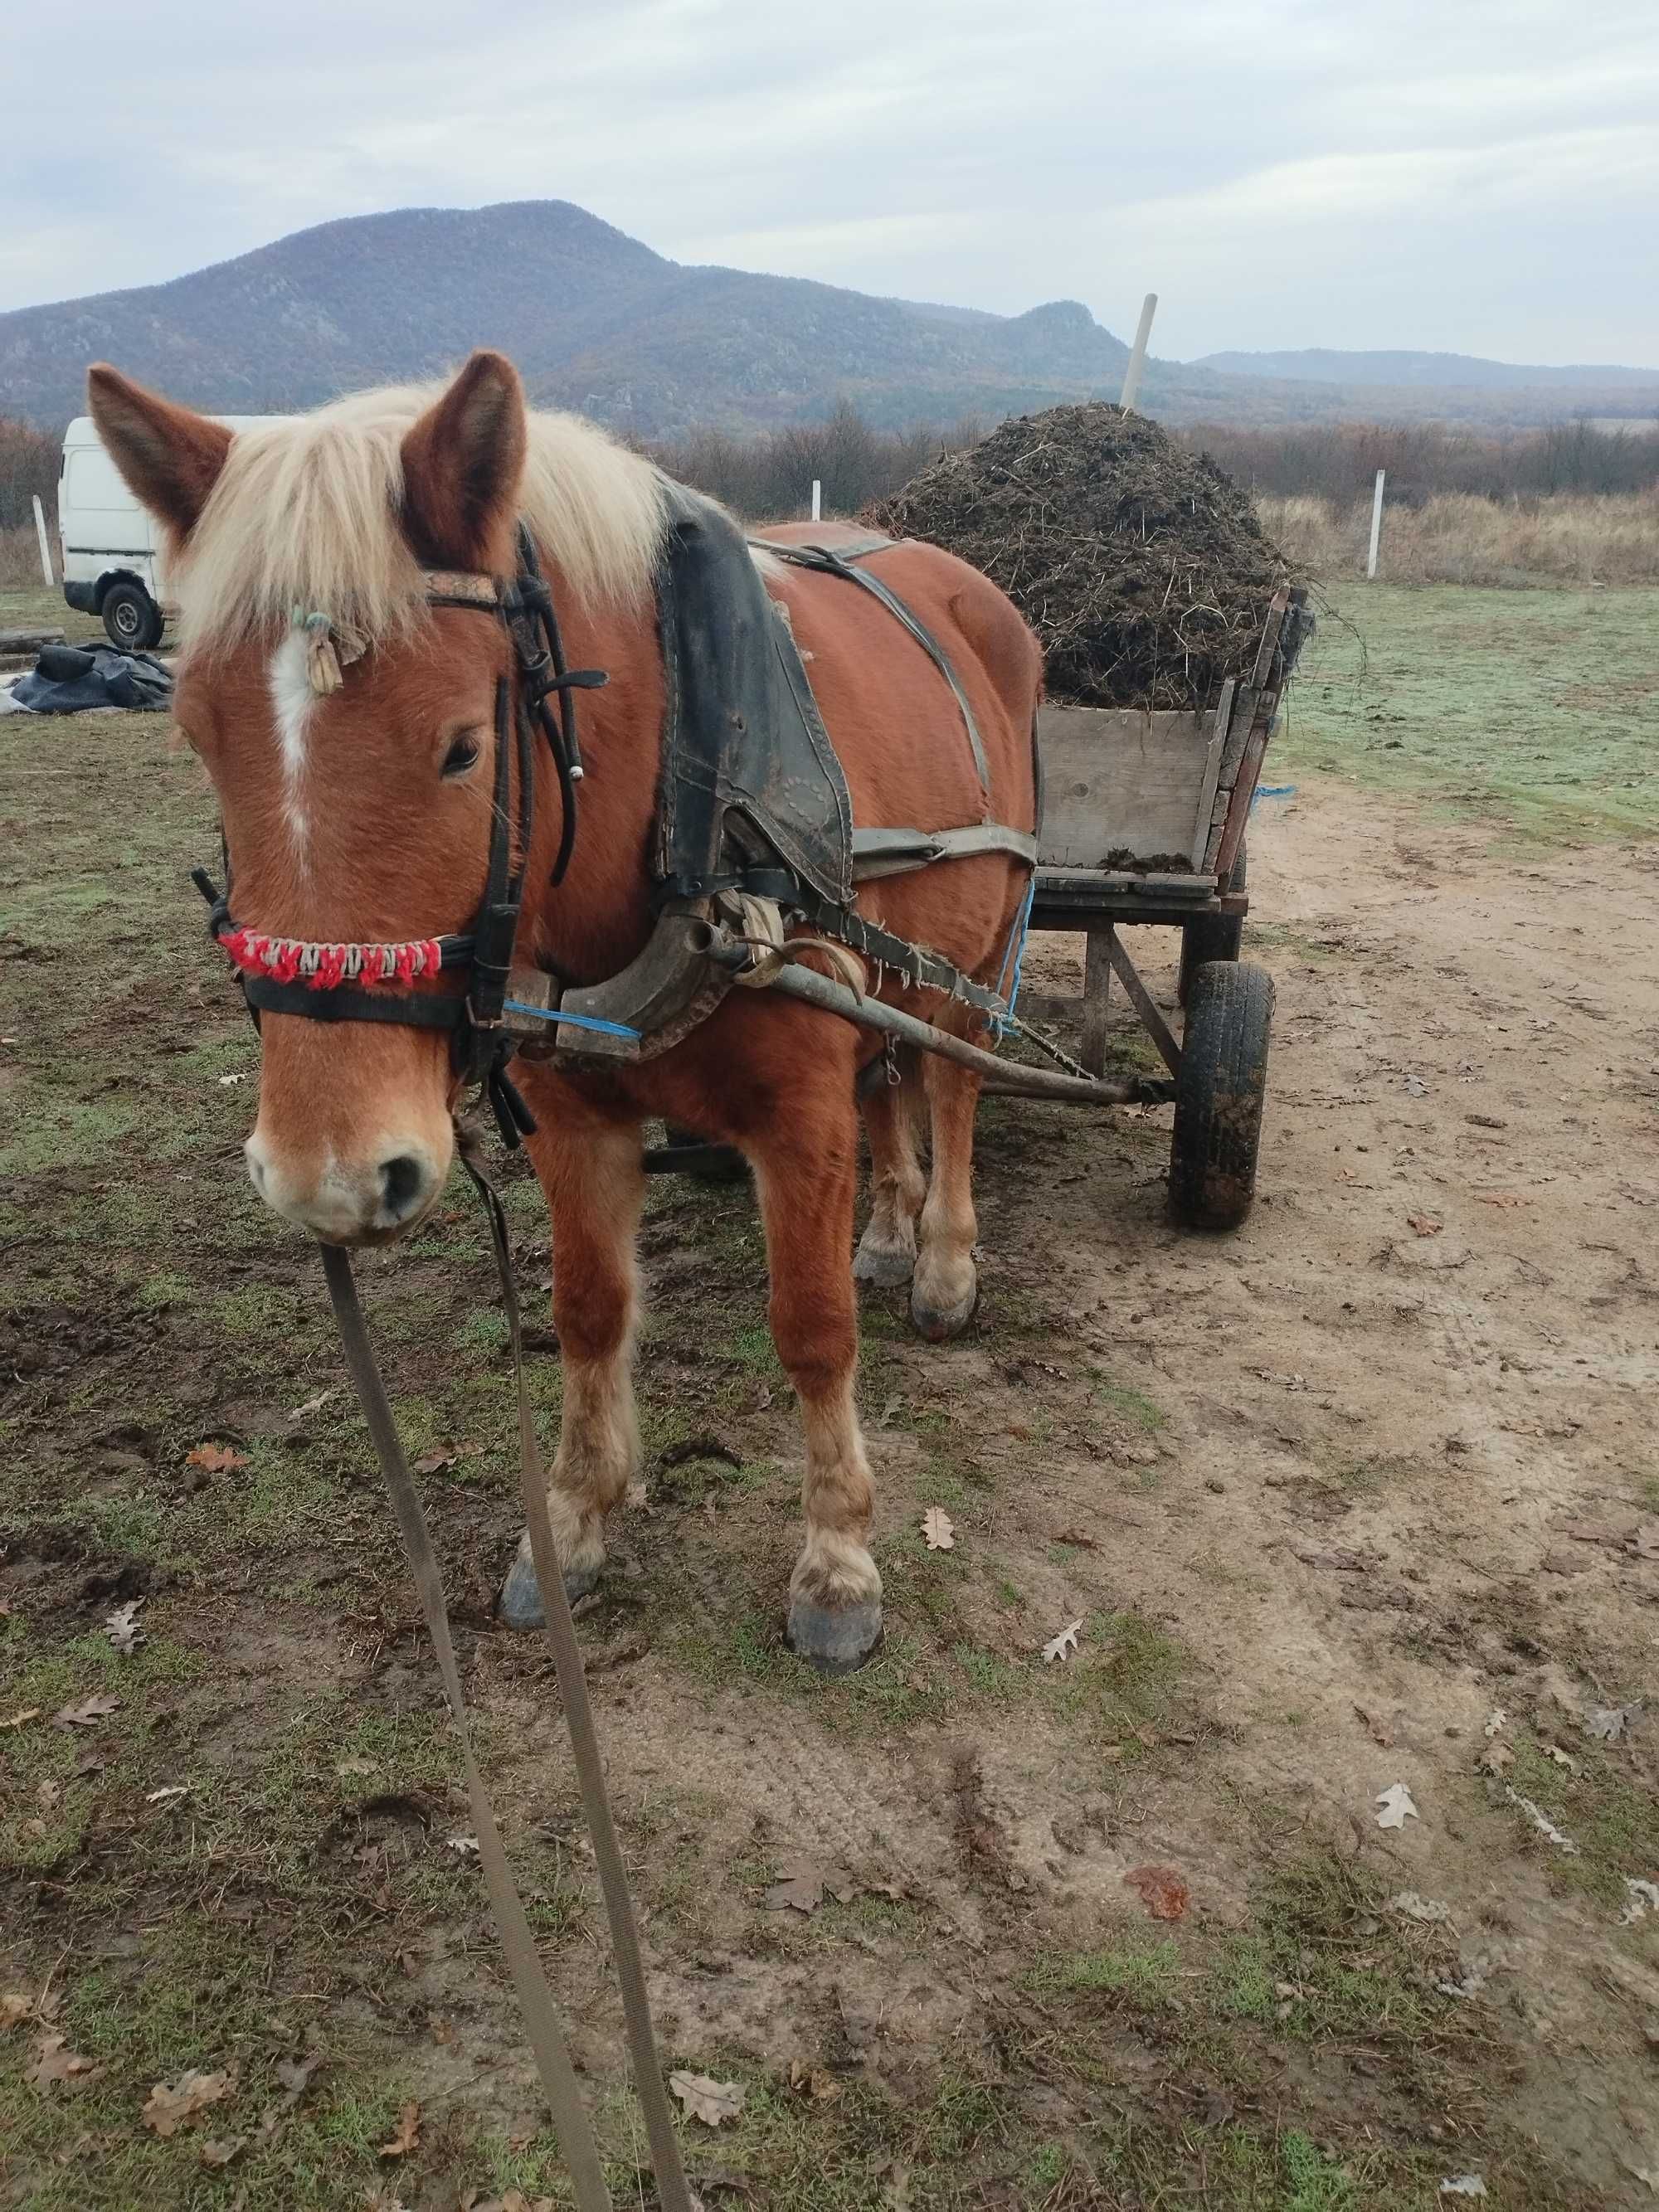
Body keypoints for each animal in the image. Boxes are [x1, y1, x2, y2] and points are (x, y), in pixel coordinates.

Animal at [88, 349, 1039, 1663]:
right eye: (194, 735)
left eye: (463, 746)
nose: (330, 1180)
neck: (691, 792)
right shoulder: (574, 1114)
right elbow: (587, 1311)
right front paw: (578, 1522)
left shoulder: (797, 1115)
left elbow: (811, 1325)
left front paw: (839, 1559)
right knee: (892, 1081)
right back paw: (894, 1232)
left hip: (979, 949)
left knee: (949, 1080)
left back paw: (942, 1263)